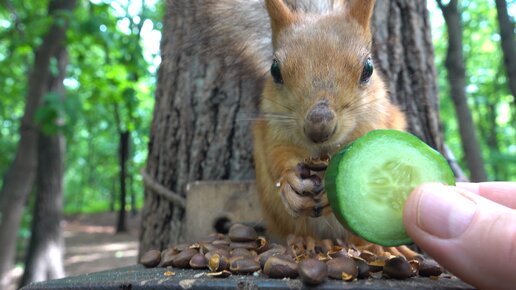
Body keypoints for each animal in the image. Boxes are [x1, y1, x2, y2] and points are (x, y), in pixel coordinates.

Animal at [202, 0, 416, 258]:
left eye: (368, 69)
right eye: (275, 70)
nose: (319, 127)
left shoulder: (376, 121)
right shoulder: (274, 127)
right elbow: (277, 154)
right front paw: (289, 181)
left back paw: (379, 247)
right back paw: (307, 241)